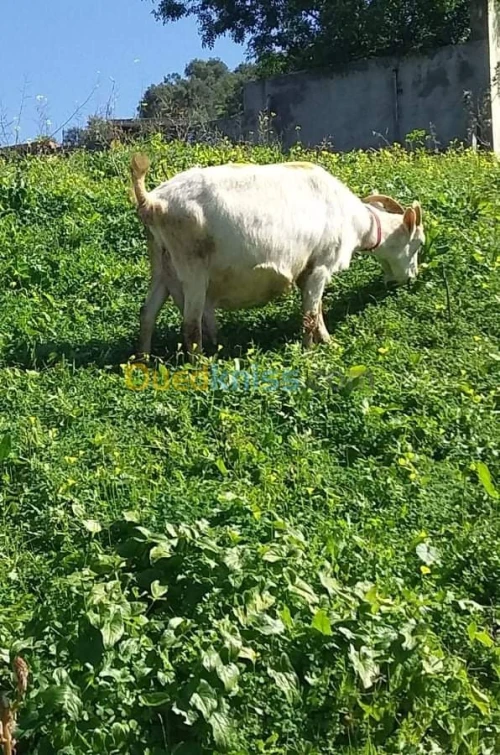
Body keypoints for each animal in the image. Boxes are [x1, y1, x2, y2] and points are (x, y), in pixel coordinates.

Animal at [130, 155, 424, 357]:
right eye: (419, 243)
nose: (411, 277)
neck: (354, 219)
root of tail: (153, 202)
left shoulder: (307, 271)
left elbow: (314, 309)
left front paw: (324, 342)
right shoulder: (321, 265)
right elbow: (311, 314)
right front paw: (313, 351)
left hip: (162, 265)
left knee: (147, 313)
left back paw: (142, 359)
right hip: (192, 268)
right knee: (191, 325)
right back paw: (201, 365)